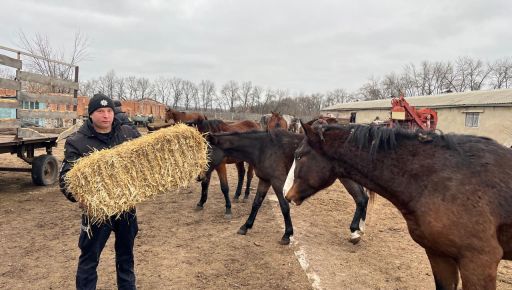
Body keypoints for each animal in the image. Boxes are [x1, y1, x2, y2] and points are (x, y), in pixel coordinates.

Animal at [209, 129, 376, 245]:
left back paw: (354, 232)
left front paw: (287, 235)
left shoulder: (278, 181)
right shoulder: (265, 180)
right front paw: (245, 227)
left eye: (207, 152)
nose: (202, 175)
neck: (262, 148)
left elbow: (284, 207)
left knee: (360, 198)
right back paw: (359, 229)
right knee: (363, 198)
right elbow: (256, 203)